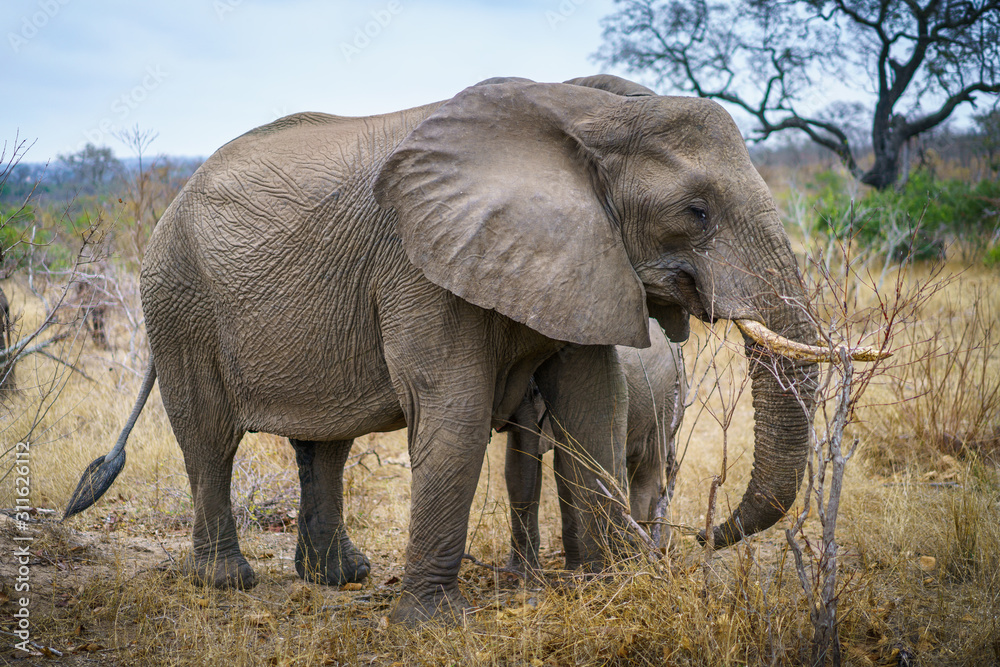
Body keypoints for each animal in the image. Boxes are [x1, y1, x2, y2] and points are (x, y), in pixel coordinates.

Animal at [505, 319, 684, 572]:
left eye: (537, 391)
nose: (529, 570)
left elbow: (565, 472)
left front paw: (573, 571)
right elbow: (515, 468)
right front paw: (519, 573)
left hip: (665, 401)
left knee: (646, 470)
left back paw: (648, 547)